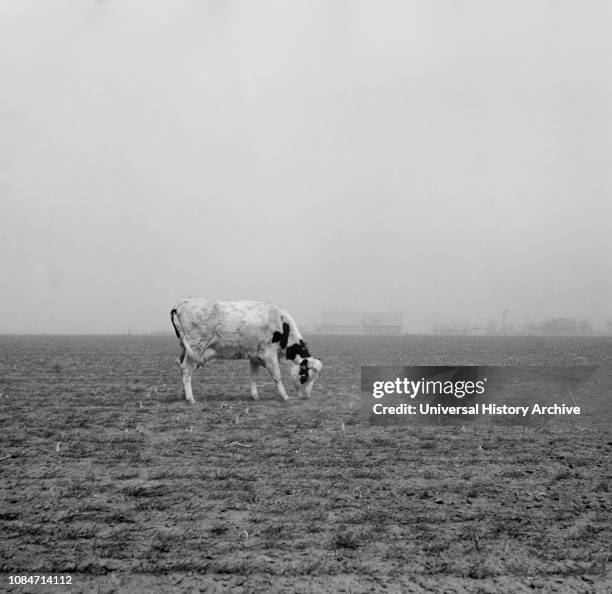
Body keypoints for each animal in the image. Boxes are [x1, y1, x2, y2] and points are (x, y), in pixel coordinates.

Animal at [167, 296, 320, 402]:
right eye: (305, 377)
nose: (306, 396)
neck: (282, 325)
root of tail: (182, 303)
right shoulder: (268, 354)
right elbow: (277, 376)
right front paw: (285, 397)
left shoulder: (255, 357)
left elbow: (253, 377)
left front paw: (255, 396)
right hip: (195, 347)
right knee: (186, 370)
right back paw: (191, 399)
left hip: (185, 348)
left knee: (180, 366)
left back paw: (184, 396)